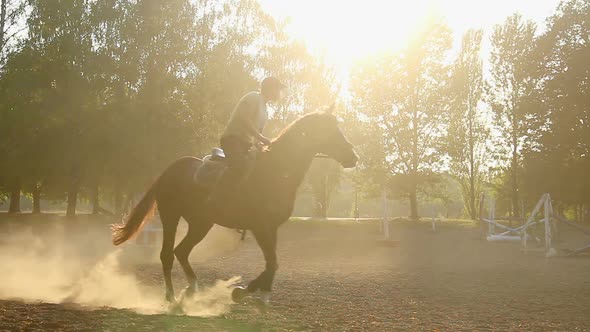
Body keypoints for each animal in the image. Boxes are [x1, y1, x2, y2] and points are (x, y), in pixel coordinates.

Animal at [112, 107, 358, 304]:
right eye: (331, 130)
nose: (353, 157)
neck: (277, 171)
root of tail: (170, 170)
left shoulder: (272, 228)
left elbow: (272, 263)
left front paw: (257, 293)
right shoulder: (261, 227)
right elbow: (273, 263)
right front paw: (246, 291)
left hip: (200, 224)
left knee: (181, 251)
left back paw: (191, 289)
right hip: (170, 217)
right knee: (167, 255)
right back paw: (171, 296)